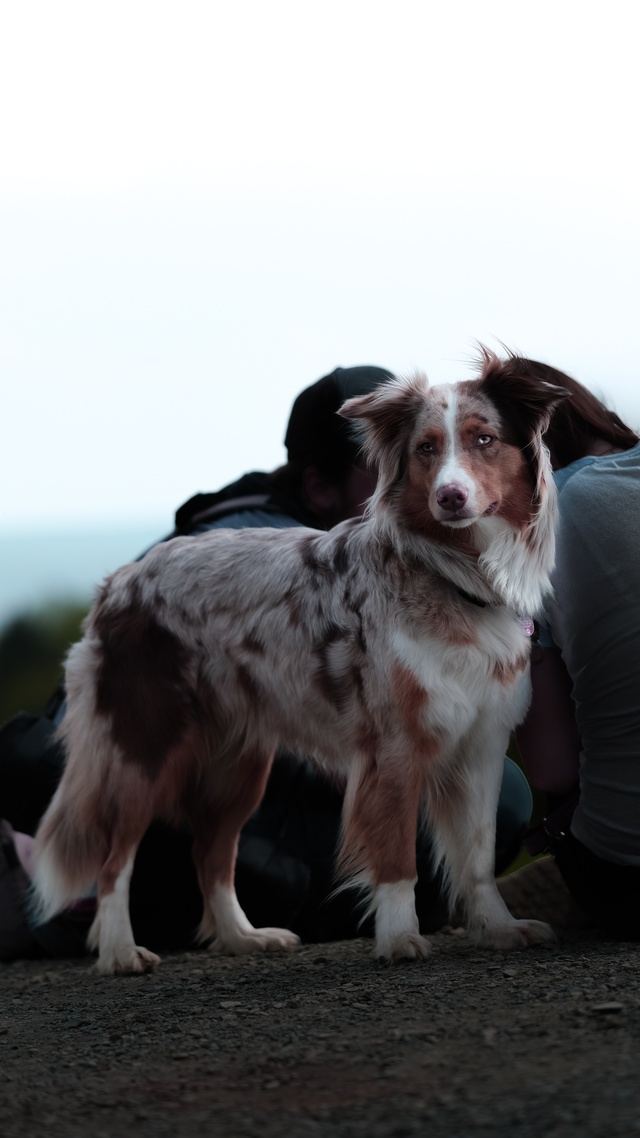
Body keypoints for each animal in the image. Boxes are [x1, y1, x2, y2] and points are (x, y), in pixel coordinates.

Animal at [33, 345, 562, 969]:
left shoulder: (481, 742)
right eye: (426, 449)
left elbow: (477, 858)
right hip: (146, 749)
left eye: (484, 439)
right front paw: (399, 938)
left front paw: (499, 928)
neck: (452, 574)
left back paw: (243, 937)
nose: (449, 497)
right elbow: (397, 856)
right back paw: (120, 951)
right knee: (116, 859)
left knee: (211, 853)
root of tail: (118, 582)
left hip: (239, 764)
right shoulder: (395, 744)